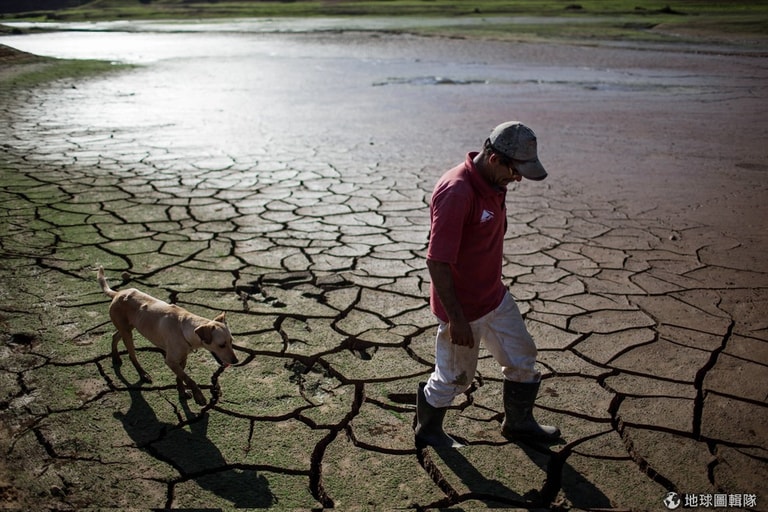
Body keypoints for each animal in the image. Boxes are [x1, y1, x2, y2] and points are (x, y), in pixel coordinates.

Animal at [97, 268, 238, 404]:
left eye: (231, 341)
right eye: (221, 345)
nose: (236, 361)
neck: (184, 327)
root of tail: (117, 293)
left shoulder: (182, 358)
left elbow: (180, 377)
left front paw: (182, 392)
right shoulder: (170, 360)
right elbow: (189, 379)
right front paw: (199, 396)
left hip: (128, 327)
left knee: (115, 336)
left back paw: (115, 357)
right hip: (127, 332)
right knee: (132, 355)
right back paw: (142, 374)